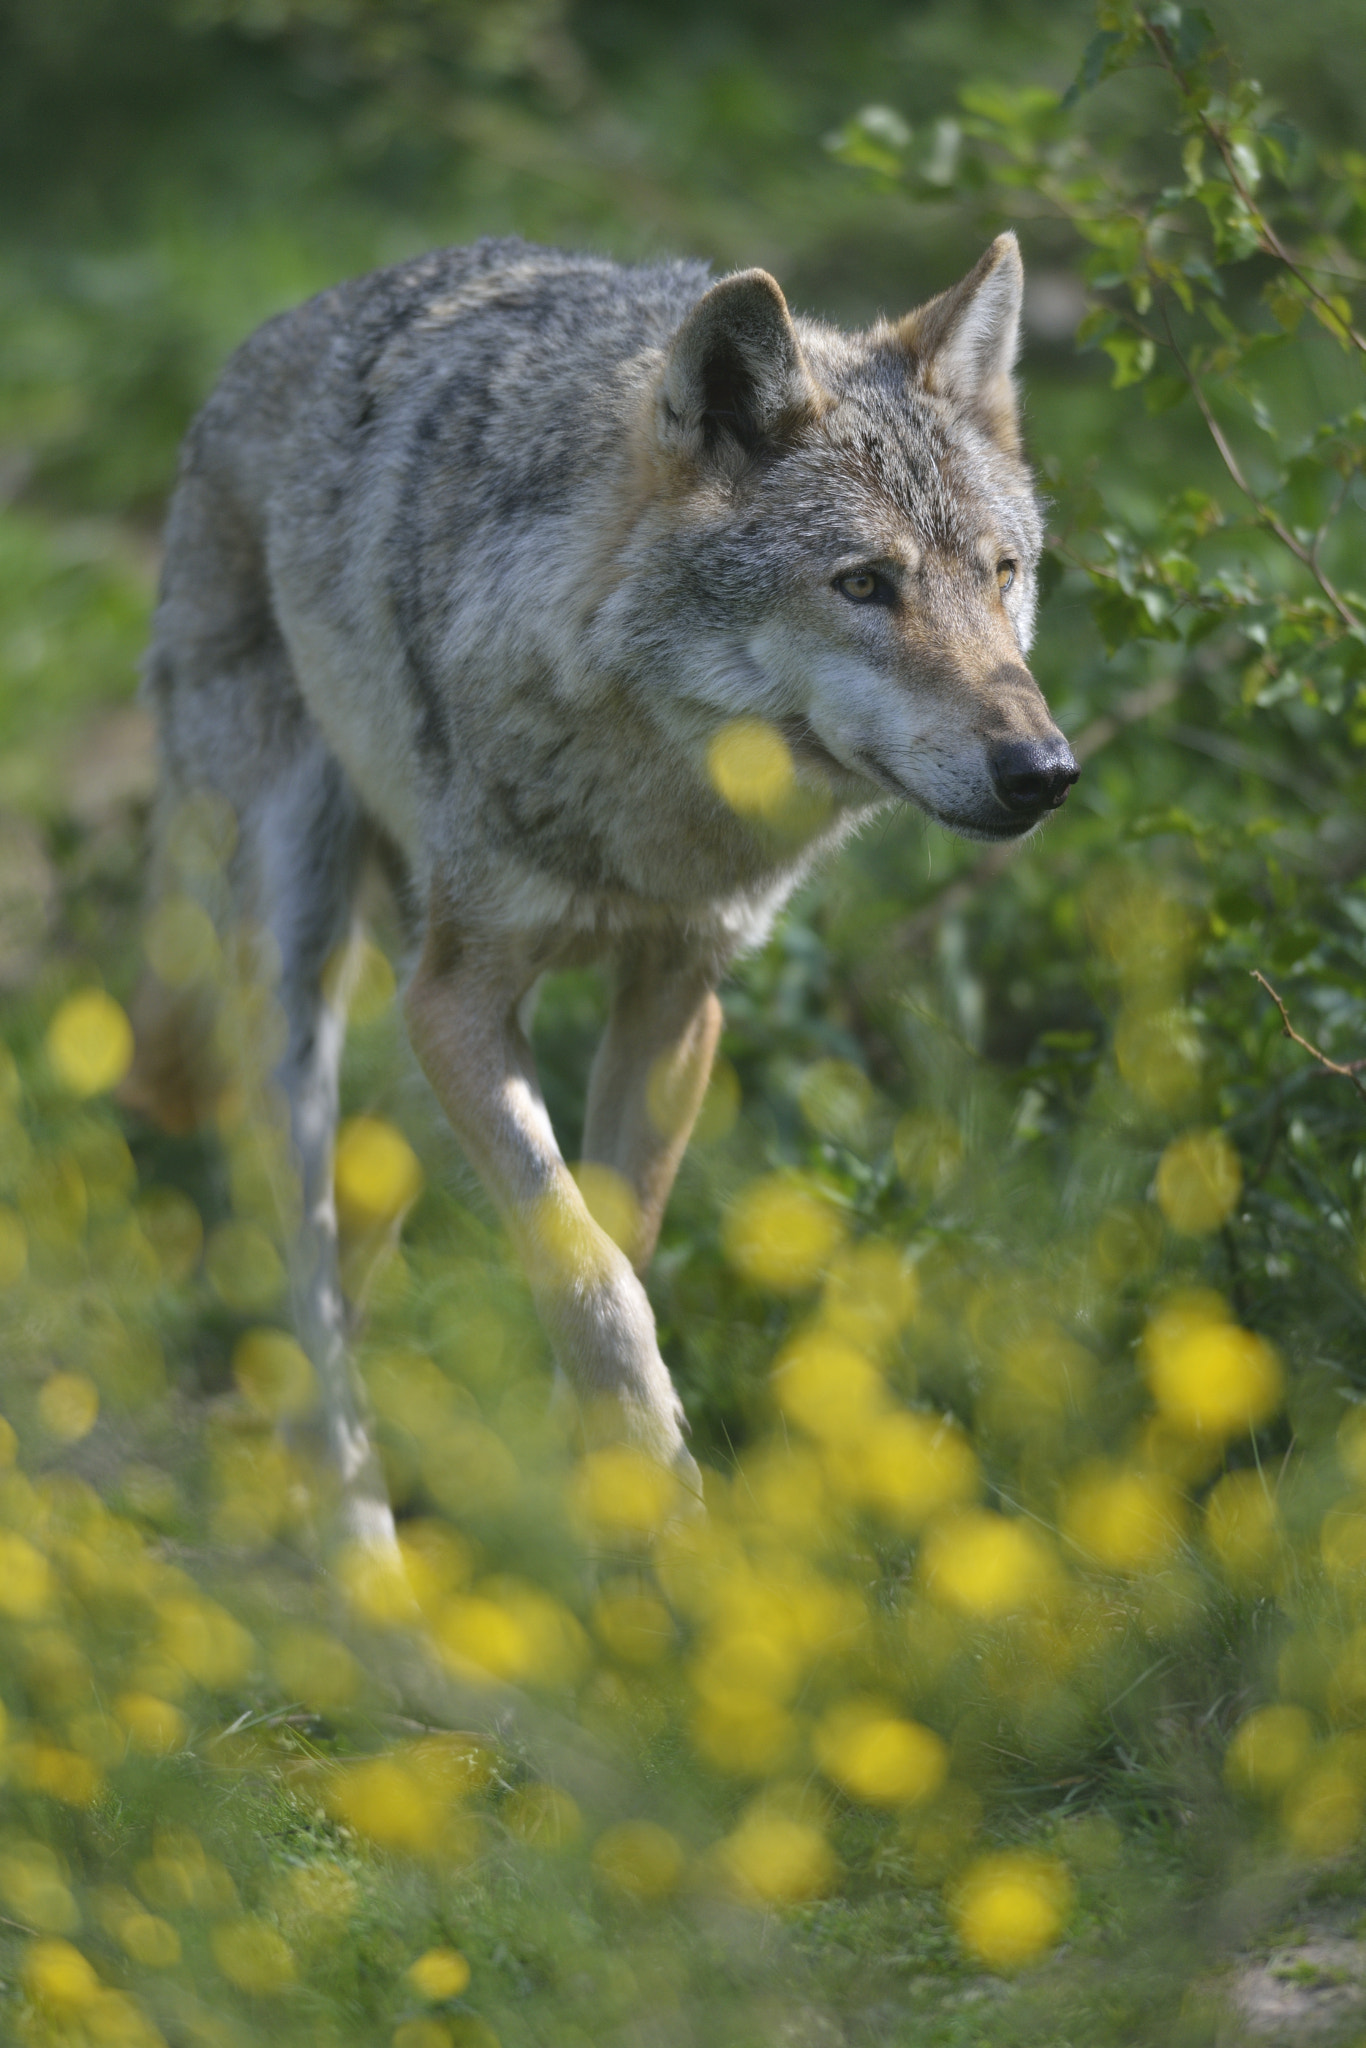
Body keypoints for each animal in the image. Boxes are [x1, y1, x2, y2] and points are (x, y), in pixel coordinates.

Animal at [122, 231, 1076, 1556]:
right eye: (863, 585)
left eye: (1001, 575)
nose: (1044, 771)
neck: (655, 805)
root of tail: (254, 356)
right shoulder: (455, 1000)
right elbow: (585, 1268)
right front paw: (657, 1484)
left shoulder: (678, 993)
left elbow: (613, 1238)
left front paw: (614, 1499)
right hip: (303, 985)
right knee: (301, 1272)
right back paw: (365, 1559)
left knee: (362, 1238)